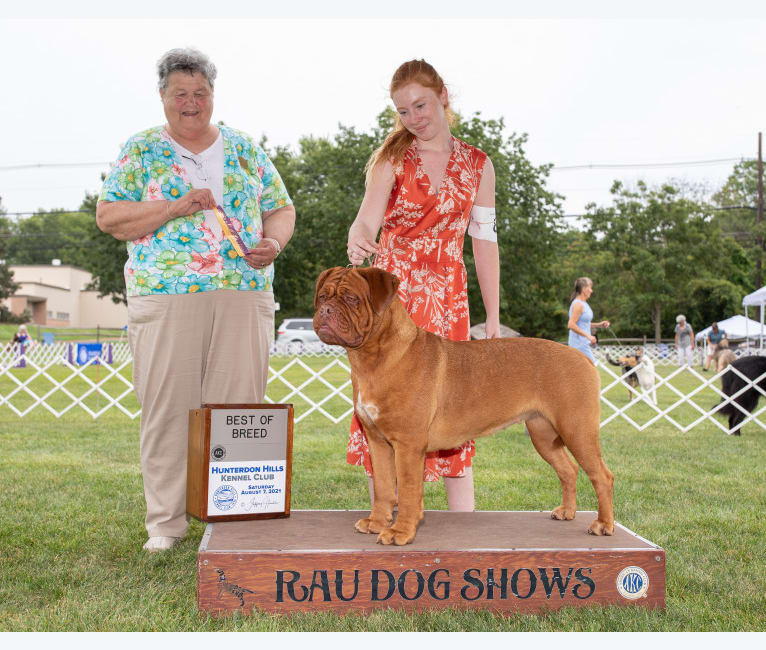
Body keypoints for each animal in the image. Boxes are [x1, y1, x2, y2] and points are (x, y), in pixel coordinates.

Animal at [314, 266, 616, 544]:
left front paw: (400, 532)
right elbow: (385, 488)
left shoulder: (408, 445)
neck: (375, 357)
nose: (325, 310)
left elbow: (409, 491)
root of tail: (583, 358)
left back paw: (603, 524)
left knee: (602, 476)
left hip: (577, 430)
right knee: (568, 470)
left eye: (352, 299)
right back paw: (567, 511)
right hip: (543, 434)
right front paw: (377, 523)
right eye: (322, 296)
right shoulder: (378, 442)